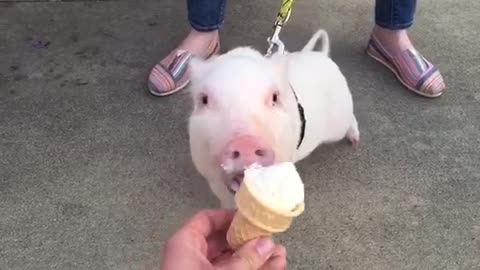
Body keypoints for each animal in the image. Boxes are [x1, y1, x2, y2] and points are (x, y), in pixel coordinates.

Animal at [186, 28, 358, 208]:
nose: (246, 143)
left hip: (339, 122)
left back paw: (355, 141)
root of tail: (323, 56)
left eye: (275, 97)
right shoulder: (210, 175)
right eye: (204, 99)